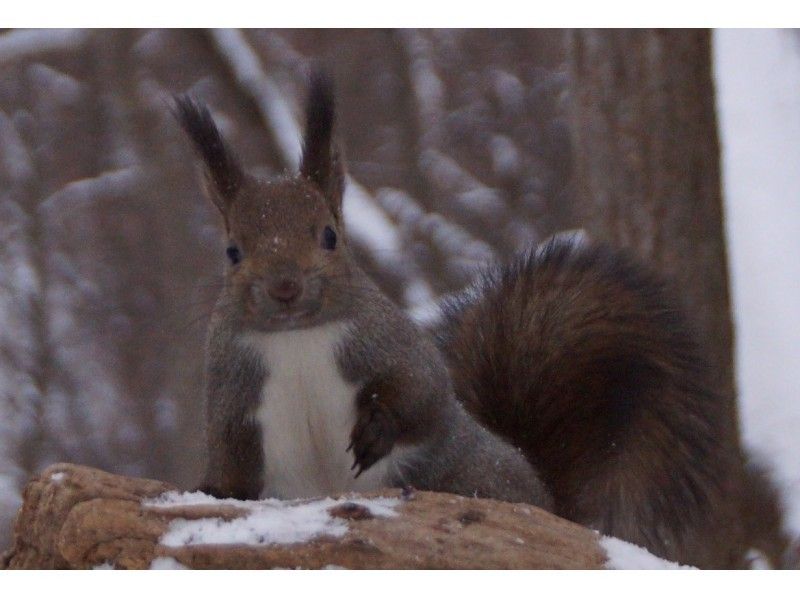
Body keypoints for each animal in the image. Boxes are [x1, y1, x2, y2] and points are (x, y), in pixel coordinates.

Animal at [173, 72, 788, 568]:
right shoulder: (231, 385)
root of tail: (552, 503)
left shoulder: (390, 344)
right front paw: (208, 489)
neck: (298, 340)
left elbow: (423, 395)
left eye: (329, 236)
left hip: (465, 476)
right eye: (232, 251)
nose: (285, 288)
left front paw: (377, 430)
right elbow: (227, 454)